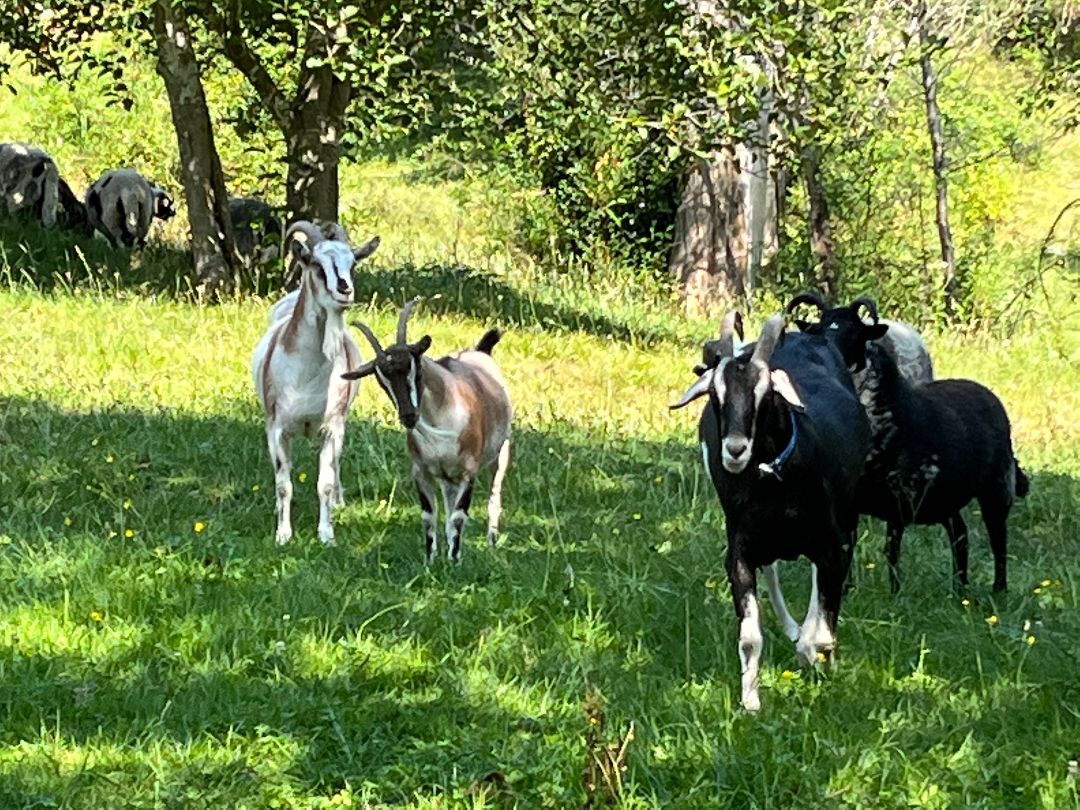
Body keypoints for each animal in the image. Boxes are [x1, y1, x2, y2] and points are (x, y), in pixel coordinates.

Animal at [251, 221, 380, 546]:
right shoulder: (277, 429)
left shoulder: (332, 428)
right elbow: (284, 484)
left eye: (352, 263)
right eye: (317, 264)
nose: (345, 290)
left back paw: (339, 501)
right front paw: (283, 535)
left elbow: (325, 483)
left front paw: (327, 534)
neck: (306, 376)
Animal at [343, 299, 512, 563]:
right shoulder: (421, 472)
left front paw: (454, 560)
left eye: (416, 369)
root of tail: (480, 352)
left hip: (500, 452)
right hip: (447, 477)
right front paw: (431, 560)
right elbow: (429, 517)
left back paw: (491, 541)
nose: (409, 416)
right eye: (382, 382)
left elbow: (458, 516)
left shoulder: (469, 471)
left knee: (494, 496)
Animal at [671, 313, 870, 711]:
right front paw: (750, 701)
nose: (734, 450)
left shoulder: (833, 547)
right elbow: (750, 637)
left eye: (764, 394)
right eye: (714, 394)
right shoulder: (741, 552)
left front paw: (816, 656)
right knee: (774, 571)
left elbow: (825, 629)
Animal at [795, 299, 1028, 592]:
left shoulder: (899, 495)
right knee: (960, 534)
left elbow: (891, 550)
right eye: (819, 330)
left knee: (998, 539)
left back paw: (998, 589)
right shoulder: (851, 503)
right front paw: (847, 590)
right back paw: (959, 589)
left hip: (997, 486)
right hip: (947, 495)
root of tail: (988, 394)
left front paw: (895, 593)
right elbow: (848, 547)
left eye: (855, 333)